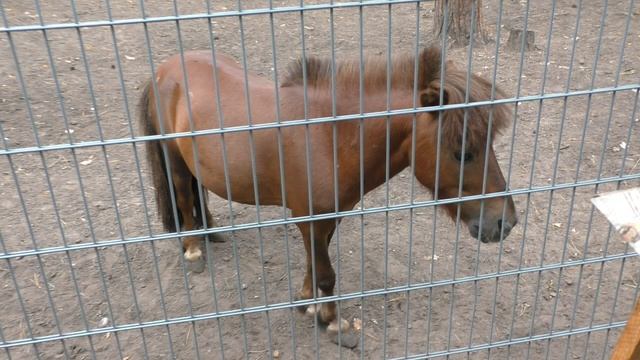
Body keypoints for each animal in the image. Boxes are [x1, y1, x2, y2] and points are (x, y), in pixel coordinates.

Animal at [138, 45, 516, 334]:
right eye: (462, 152)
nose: (505, 223)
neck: (330, 137)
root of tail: (166, 69)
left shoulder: (328, 217)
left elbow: (313, 264)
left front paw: (307, 303)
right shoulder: (310, 218)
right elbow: (326, 273)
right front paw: (332, 322)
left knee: (197, 189)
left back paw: (211, 232)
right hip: (172, 157)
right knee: (183, 195)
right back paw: (193, 249)